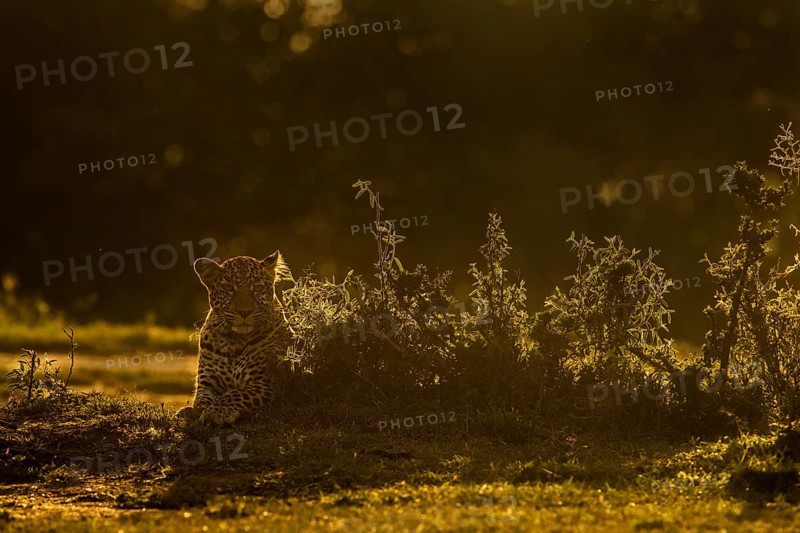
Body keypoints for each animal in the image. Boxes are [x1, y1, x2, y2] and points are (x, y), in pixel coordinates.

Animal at [176, 251, 293, 425]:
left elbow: (235, 394)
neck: (233, 340)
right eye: (228, 288)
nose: (244, 312)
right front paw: (194, 410)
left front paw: (218, 411)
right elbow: (202, 398)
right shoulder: (207, 383)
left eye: (257, 288)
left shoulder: (268, 381)